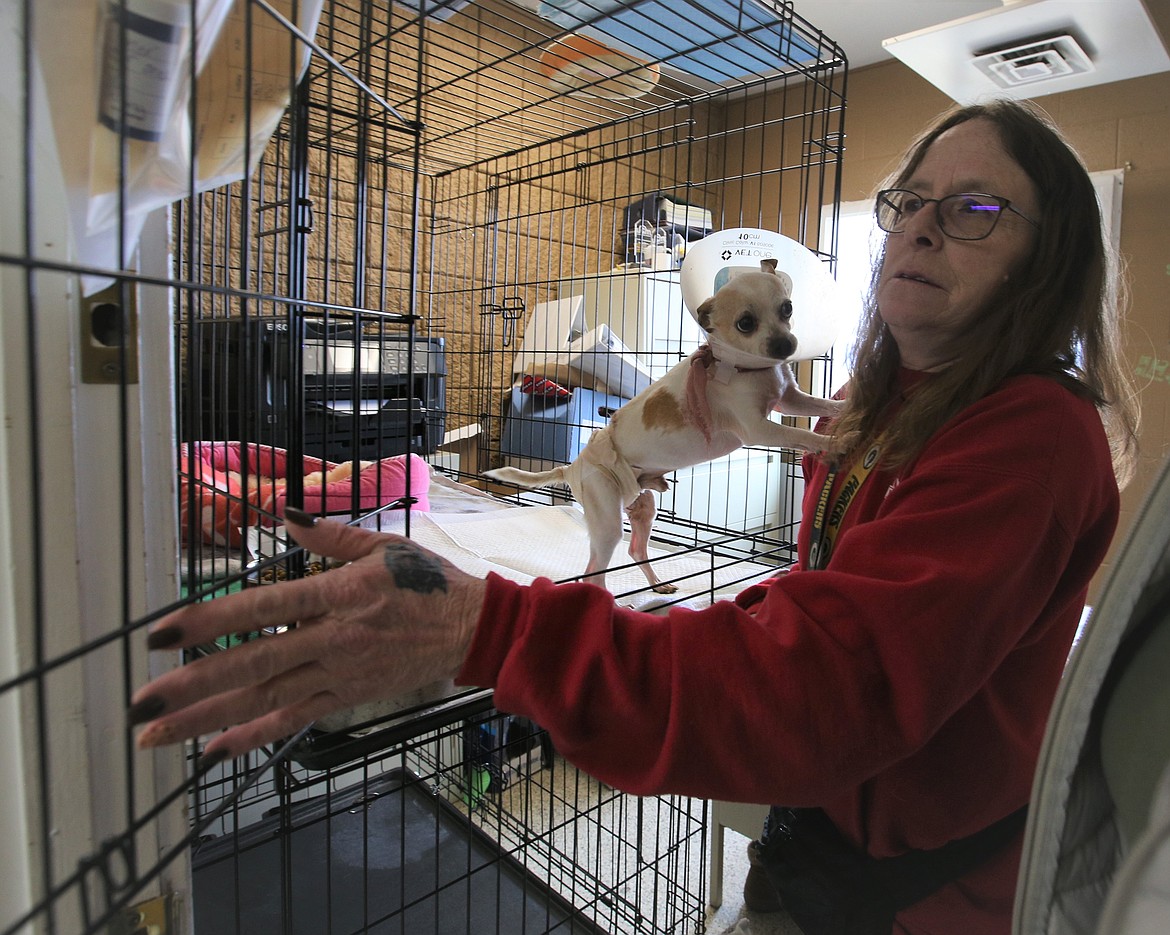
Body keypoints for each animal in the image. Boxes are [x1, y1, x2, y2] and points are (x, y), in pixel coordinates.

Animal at [484, 259, 842, 592]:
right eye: (745, 324)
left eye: (787, 308)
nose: (785, 346)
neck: (746, 368)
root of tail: (572, 467)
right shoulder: (759, 429)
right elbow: (798, 434)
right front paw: (832, 443)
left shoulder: (790, 399)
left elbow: (819, 406)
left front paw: (844, 408)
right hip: (607, 519)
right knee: (593, 572)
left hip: (644, 509)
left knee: (635, 550)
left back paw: (657, 584)